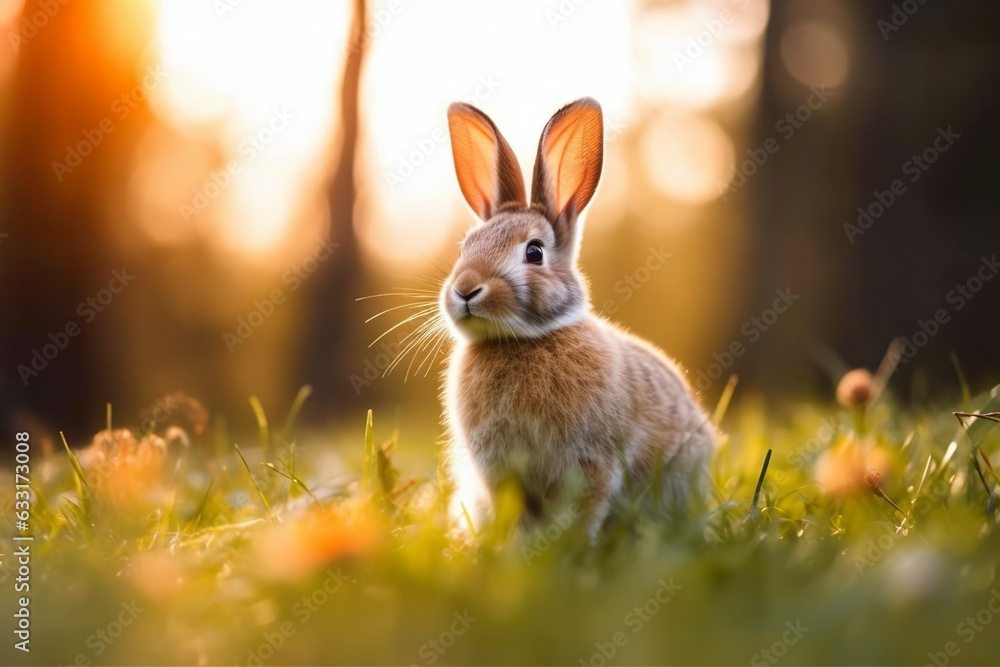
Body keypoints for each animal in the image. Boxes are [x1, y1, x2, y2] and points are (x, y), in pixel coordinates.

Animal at [440, 97, 717, 537]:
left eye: (534, 252)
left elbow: (584, 508)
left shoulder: (592, 462)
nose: (465, 290)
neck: (522, 340)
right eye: (465, 246)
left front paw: (565, 547)